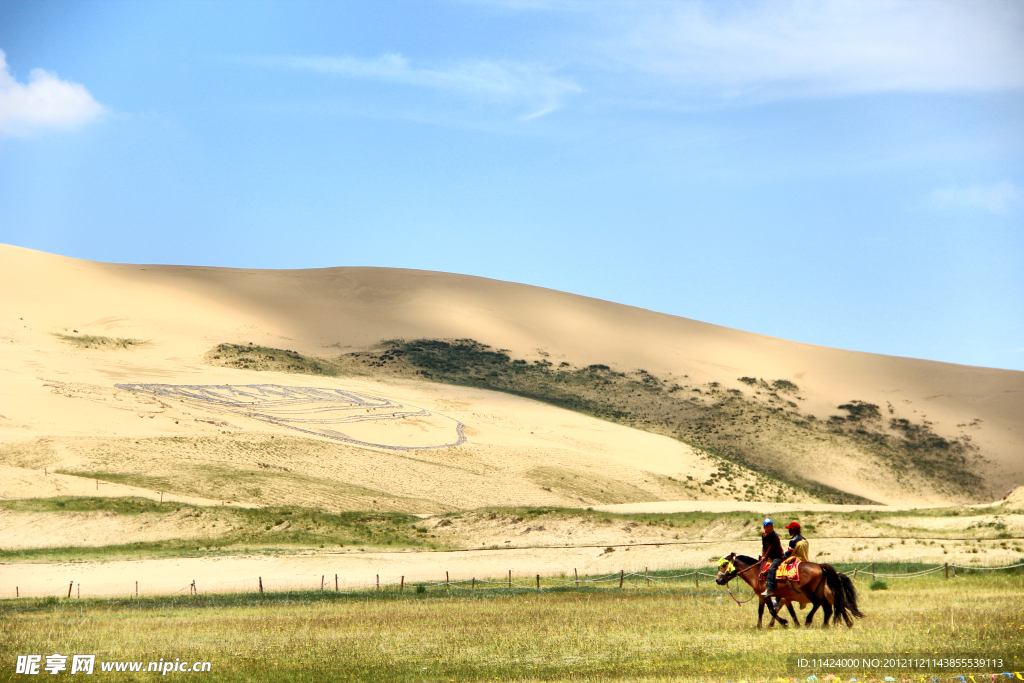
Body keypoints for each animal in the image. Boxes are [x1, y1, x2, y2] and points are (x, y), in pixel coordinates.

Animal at [720, 552, 864, 626]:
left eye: (724, 565)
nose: (718, 580)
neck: (757, 573)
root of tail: (820, 566)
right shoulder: (771, 597)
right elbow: (763, 611)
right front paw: (760, 626)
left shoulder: (768, 595)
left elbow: (772, 610)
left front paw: (783, 622)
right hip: (823, 594)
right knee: (832, 608)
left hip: (813, 593)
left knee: (824, 605)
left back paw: (810, 621)